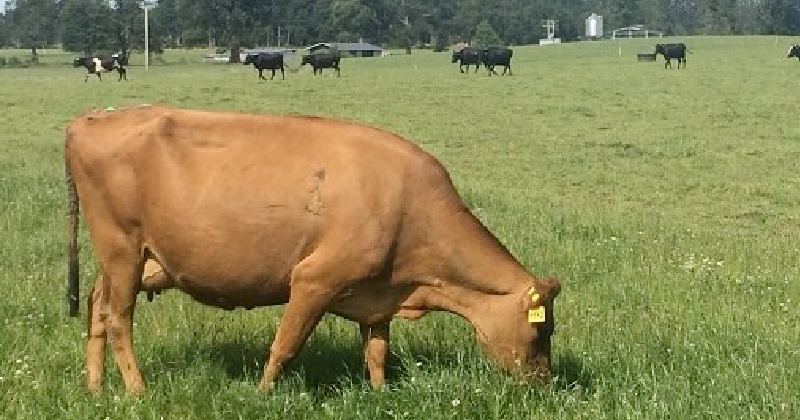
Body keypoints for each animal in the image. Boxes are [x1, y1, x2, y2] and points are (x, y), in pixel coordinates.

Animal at [65, 106, 561, 394]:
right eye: (541, 331)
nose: (545, 384)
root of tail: (88, 120)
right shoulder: (313, 279)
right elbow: (285, 345)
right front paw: (262, 394)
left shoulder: (381, 293)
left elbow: (377, 351)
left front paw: (380, 395)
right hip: (121, 250)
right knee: (118, 319)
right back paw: (137, 391)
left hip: (129, 261)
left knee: (96, 307)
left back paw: (95, 387)